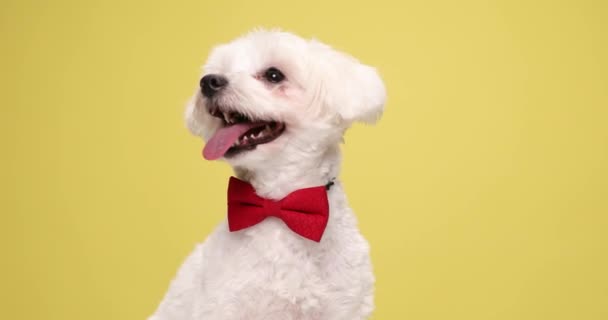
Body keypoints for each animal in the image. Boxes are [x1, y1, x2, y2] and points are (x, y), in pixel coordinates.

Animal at [149, 28, 384, 318]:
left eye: (274, 75)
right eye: (219, 70)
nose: (209, 82)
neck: (277, 203)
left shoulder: (344, 306)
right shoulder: (225, 305)